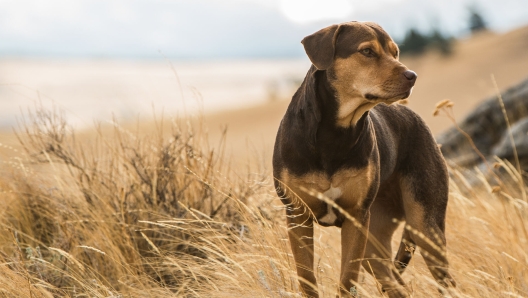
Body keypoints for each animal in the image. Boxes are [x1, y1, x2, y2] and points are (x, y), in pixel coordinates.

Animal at [272, 22, 454, 296]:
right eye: (367, 51)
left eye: (395, 52)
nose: (412, 76)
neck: (335, 132)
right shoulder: (298, 215)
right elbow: (307, 278)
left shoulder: (356, 218)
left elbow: (347, 279)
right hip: (375, 243)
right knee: (396, 283)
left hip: (424, 225)